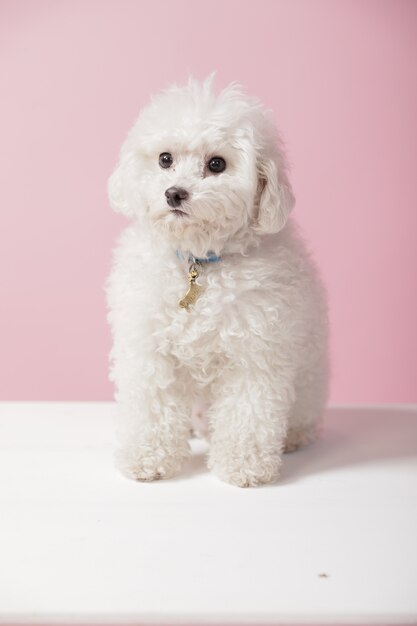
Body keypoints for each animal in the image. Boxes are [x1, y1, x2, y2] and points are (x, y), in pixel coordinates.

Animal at [105, 78, 326, 486]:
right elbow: (151, 405)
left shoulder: (255, 352)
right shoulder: (149, 347)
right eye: (165, 159)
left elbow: (248, 413)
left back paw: (293, 436)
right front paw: (146, 456)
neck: (199, 262)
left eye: (217, 164)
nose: (174, 192)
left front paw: (244, 464)